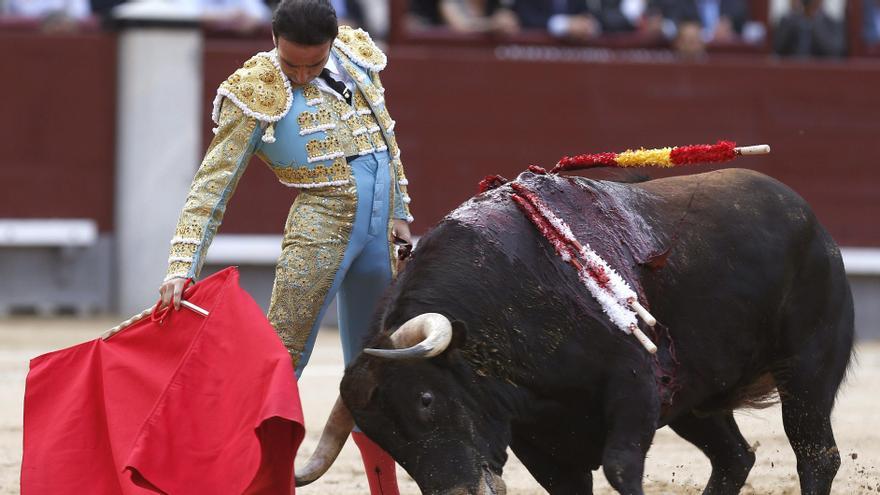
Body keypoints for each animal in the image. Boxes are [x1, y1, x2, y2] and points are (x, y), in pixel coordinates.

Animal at [310, 169, 852, 494]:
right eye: (381, 437)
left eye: (425, 399)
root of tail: (809, 219)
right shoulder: (535, 437)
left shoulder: (634, 390)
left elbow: (620, 469)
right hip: (693, 398)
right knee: (734, 458)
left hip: (806, 368)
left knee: (816, 455)